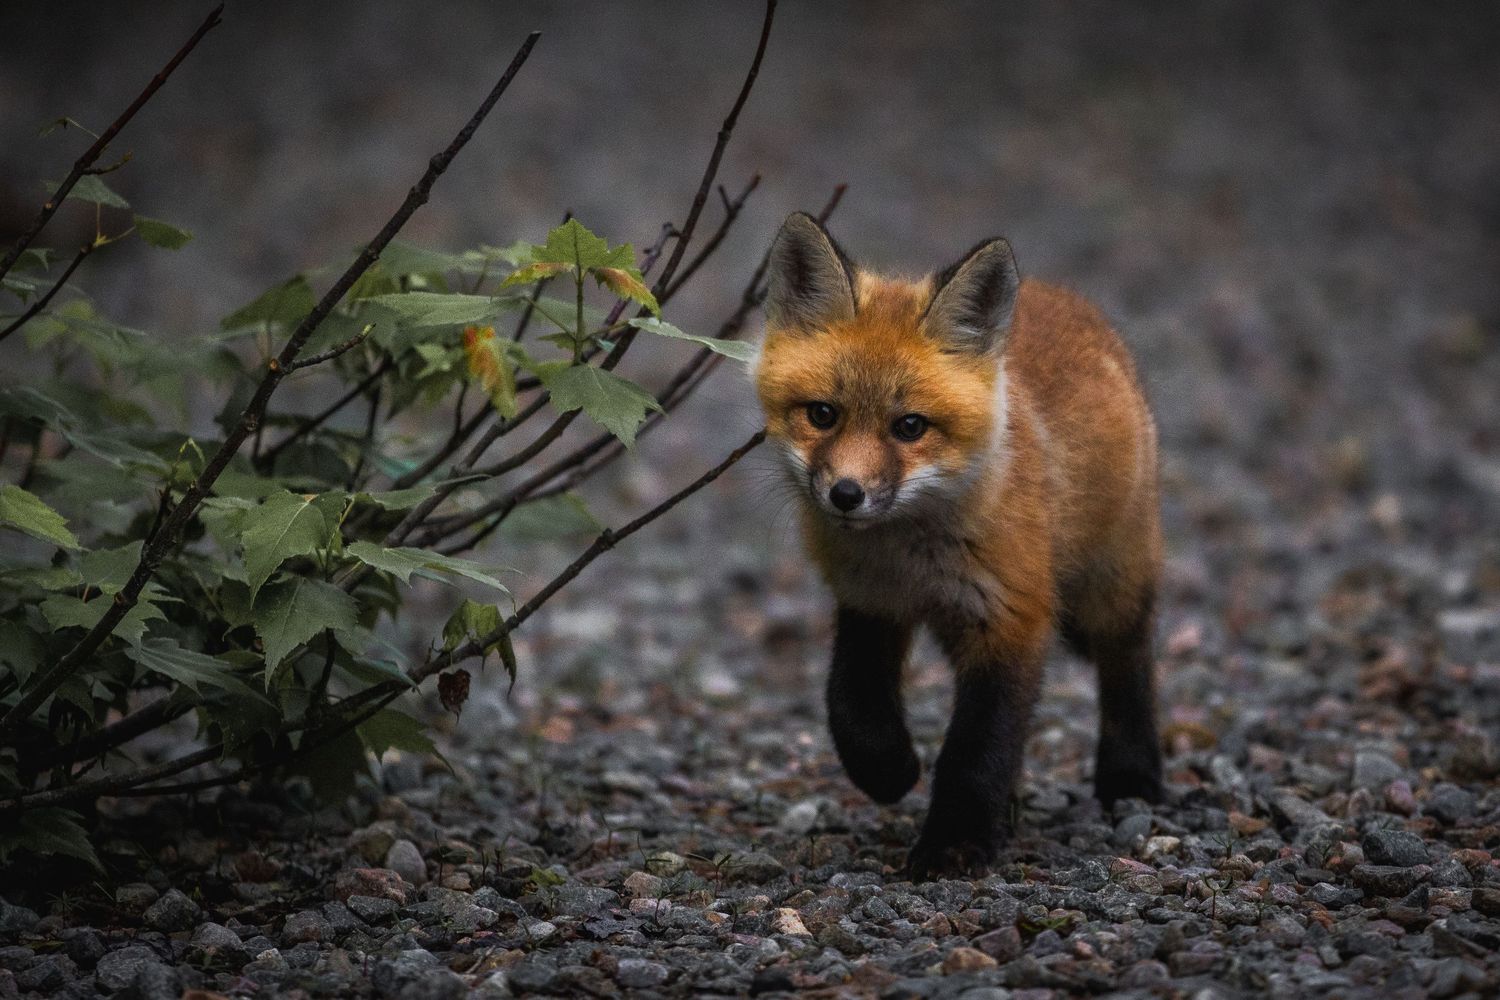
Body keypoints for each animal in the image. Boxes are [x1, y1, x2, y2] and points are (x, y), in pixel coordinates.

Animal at [754, 212, 1165, 876]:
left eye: (910, 426)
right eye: (822, 415)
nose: (846, 494)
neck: (909, 560)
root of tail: (1063, 295)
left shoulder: (1013, 617)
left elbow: (979, 747)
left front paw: (955, 844)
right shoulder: (869, 602)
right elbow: (850, 703)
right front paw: (888, 771)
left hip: (1114, 582)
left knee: (1129, 662)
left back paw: (1131, 778)